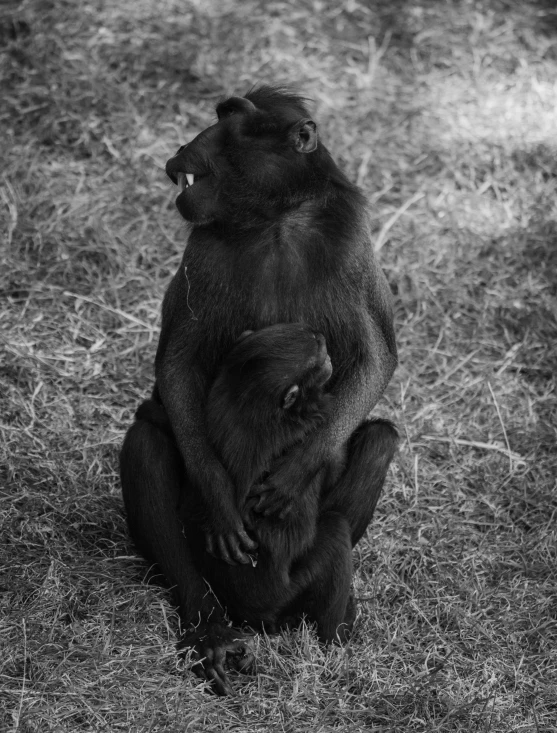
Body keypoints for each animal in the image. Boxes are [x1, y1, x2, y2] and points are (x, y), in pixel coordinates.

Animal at [119, 86, 398, 692]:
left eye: (233, 122)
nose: (184, 147)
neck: (275, 218)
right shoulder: (203, 248)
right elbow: (178, 363)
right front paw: (224, 501)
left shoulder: (350, 243)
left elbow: (376, 357)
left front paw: (293, 473)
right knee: (149, 433)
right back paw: (212, 629)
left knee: (381, 439)